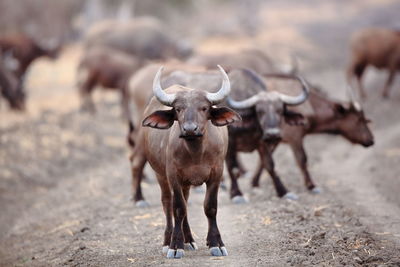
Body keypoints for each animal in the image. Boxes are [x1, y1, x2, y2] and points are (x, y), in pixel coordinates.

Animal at [133, 65, 241, 260]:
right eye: (178, 109)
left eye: (204, 108)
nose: (190, 129)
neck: (196, 153)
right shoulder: (173, 176)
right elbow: (178, 208)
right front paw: (175, 246)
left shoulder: (217, 174)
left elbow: (210, 207)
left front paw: (216, 243)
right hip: (160, 174)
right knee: (168, 202)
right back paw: (168, 240)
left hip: (186, 183)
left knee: (186, 201)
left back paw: (189, 239)